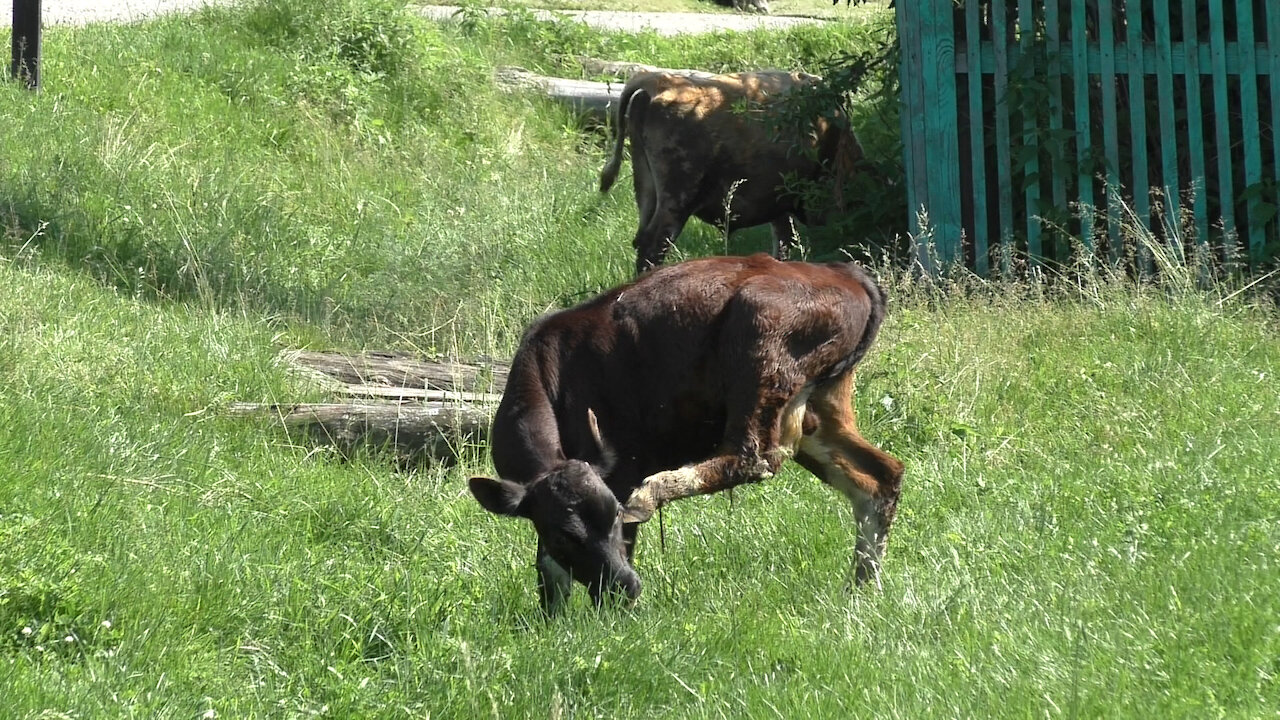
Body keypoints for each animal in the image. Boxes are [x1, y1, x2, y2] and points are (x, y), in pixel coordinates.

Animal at [468, 252, 901, 609]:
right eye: (563, 535)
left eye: (615, 517)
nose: (627, 586)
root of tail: (843, 271)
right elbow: (549, 569)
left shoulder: (623, 471)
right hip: (818, 407)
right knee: (880, 476)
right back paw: (862, 590)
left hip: (762, 352)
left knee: (753, 457)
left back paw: (654, 491)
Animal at [596, 70, 860, 272]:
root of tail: (656, 82)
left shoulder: (779, 204)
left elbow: (784, 238)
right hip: (676, 202)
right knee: (654, 244)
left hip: (647, 190)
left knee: (642, 241)